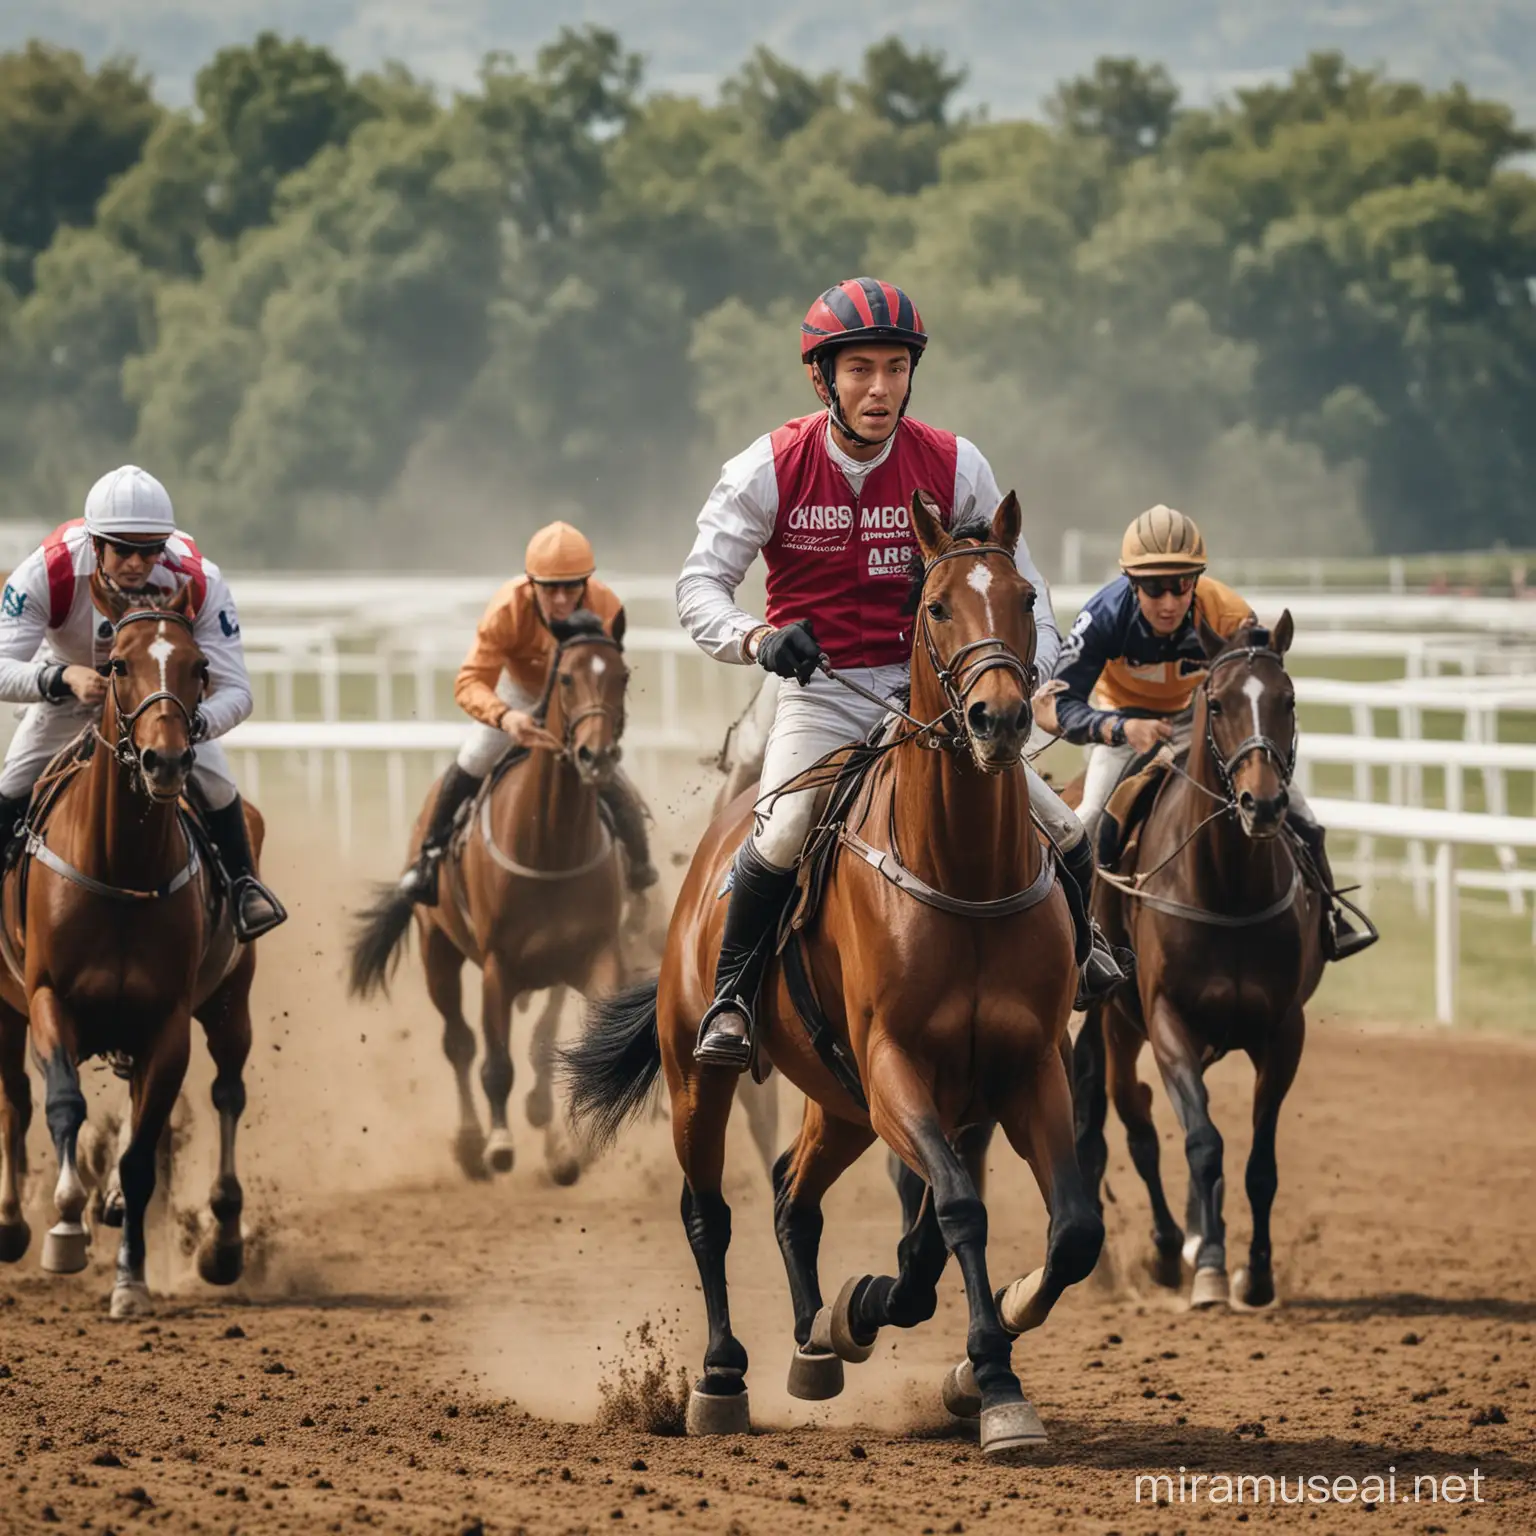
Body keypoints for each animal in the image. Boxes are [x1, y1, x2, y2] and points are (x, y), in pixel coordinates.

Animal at [0, 577, 261, 1320]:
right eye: (117, 664)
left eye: (200, 667)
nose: (165, 760)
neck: (120, 870)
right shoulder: (48, 998)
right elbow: (62, 1103)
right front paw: (65, 1223)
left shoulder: (166, 1021)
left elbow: (143, 1155)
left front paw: (131, 1280)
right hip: (7, 1008)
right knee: (15, 1099)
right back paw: (13, 1225)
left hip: (230, 1002)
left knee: (227, 1093)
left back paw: (222, 1242)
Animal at [348, 614, 629, 1185]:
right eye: (566, 678)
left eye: (624, 676)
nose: (596, 756)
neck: (550, 844)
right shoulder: (499, 967)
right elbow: (495, 1062)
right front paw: (499, 1142)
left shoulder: (591, 955)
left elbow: (564, 1046)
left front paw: (567, 1145)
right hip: (437, 950)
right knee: (459, 1043)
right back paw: (471, 1142)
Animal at [571, 491, 1099, 1449]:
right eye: (937, 607)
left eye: (1023, 597)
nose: (1001, 720)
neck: (963, 872)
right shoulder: (895, 1067)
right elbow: (957, 1209)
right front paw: (991, 1378)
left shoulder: (1023, 1067)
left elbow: (1063, 1229)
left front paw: (954, 1341)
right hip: (700, 1078)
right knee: (709, 1211)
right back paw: (721, 1375)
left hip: (842, 1101)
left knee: (792, 1190)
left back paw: (817, 1338)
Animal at [1075, 611, 1327, 1308]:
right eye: (1216, 703)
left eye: (1287, 699)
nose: (1262, 805)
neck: (1225, 888)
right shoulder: (1167, 1020)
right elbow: (1201, 1141)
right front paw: (1210, 1264)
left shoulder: (1284, 1030)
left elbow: (1259, 1164)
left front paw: (1256, 1273)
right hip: (1117, 1021)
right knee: (1133, 1119)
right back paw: (1168, 1248)